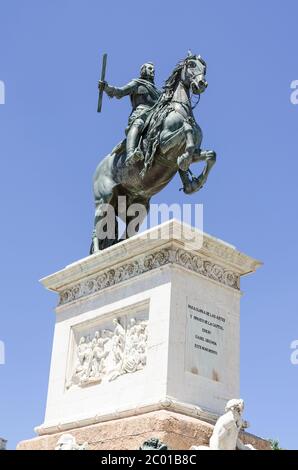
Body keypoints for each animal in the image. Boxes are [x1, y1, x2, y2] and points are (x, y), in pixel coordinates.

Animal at [91, 53, 217, 253]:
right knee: (98, 230)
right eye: (191, 65)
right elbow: (186, 130)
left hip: (137, 207)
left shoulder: (193, 153)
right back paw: (96, 253)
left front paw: (195, 182)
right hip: (104, 202)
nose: (202, 83)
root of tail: (98, 169)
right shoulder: (163, 146)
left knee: (124, 235)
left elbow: (211, 155)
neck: (179, 109)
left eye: (204, 68)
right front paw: (184, 159)